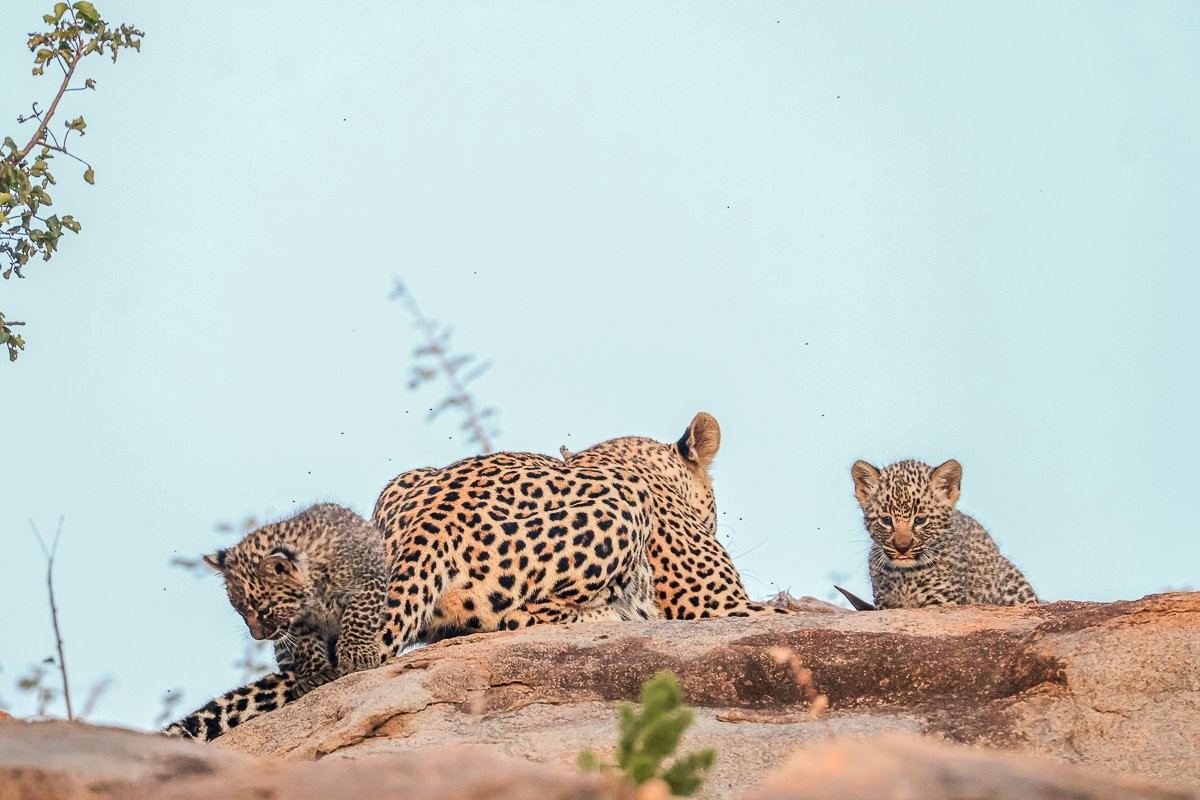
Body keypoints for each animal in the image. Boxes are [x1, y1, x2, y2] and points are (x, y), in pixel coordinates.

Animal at [850, 458, 1037, 609]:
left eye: (920, 520)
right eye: (886, 520)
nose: (902, 548)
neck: (905, 575)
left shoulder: (941, 601)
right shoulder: (885, 603)